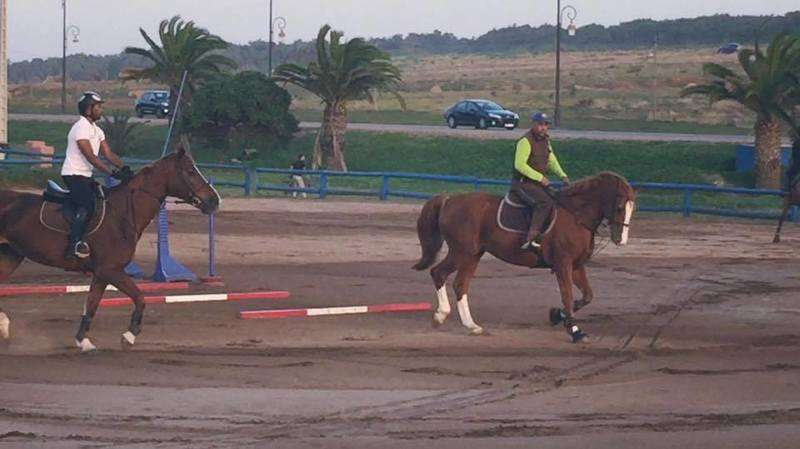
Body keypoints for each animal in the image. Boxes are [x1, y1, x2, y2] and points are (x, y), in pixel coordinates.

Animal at [0, 149, 219, 352]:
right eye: (190, 172)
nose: (214, 200)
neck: (123, 212)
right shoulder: (111, 270)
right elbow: (140, 298)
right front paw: (129, 336)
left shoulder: (101, 274)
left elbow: (92, 305)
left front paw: (83, 340)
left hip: (11, 256)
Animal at [416, 173, 636, 342]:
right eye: (619, 207)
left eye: (632, 209)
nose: (621, 240)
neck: (576, 216)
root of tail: (449, 200)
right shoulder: (563, 264)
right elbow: (567, 296)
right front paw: (574, 330)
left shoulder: (576, 266)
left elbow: (587, 296)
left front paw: (557, 315)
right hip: (461, 252)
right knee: (438, 273)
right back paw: (441, 315)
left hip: (472, 255)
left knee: (460, 284)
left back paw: (471, 325)